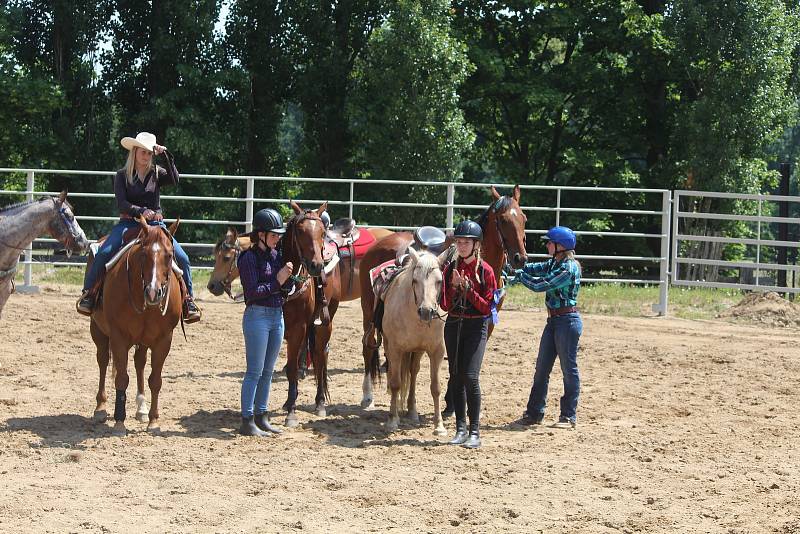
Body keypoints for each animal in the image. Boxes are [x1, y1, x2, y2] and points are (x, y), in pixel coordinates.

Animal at [88, 219, 184, 440]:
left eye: (169, 255)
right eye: (143, 254)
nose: (153, 292)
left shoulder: (164, 339)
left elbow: (155, 380)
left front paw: (154, 421)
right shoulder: (118, 336)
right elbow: (122, 378)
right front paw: (119, 422)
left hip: (143, 340)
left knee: (139, 363)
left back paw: (141, 408)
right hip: (98, 330)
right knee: (103, 361)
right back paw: (101, 408)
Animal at [360, 186, 528, 408]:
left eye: (524, 218)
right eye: (503, 220)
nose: (520, 258)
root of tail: (377, 244)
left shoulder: (486, 324)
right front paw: (451, 402)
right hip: (368, 314)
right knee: (368, 348)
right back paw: (367, 396)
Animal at [368, 247, 450, 436]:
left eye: (439, 281)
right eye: (415, 280)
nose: (426, 311)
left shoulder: (437, 351)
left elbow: (436, 387)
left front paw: (439, 426)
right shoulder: (396, 349)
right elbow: (396, 383)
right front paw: (392, 420)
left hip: (417, 350)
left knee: (413, 372)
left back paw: (412, 411)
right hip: (389, 346)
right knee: (394, 372)